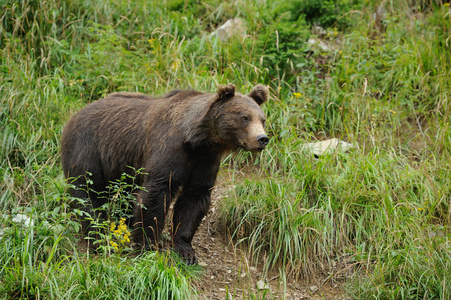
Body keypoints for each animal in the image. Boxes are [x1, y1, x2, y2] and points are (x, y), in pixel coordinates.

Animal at [61, 83, 270, 264]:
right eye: (245, 117)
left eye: (262, 119)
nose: (262, 138)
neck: (197, 139)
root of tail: (74, 114)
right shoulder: (169, 147)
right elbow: (157, 192)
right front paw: (148, 245)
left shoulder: (206, 159)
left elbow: (194, 196)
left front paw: (185, 249)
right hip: (88, 147)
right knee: (87, 191)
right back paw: (98, 234)